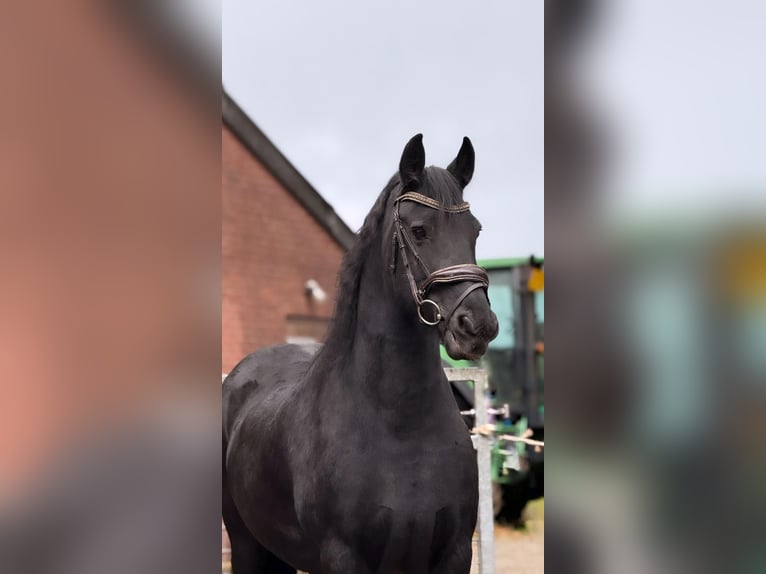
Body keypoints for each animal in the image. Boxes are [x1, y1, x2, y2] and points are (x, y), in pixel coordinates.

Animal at [223, 134, 499, 574]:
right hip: (246, 543)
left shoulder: (455, 553)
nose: (477, 326)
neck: (401, 427)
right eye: (419, 230)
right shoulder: (342, 556)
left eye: (475, 230)